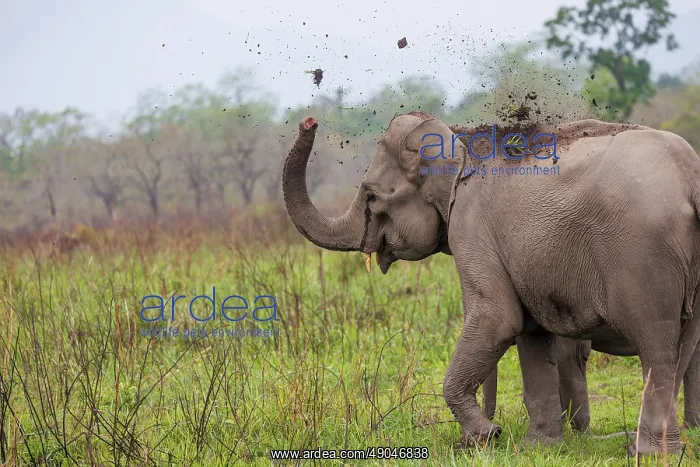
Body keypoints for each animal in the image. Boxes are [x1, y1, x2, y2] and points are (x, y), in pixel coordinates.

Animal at [282, 111, 700, 455]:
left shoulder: (471, 225)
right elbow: (531, 334)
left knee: (657, 345)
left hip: (644, 258)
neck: (459, 140)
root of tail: (690, 176)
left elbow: (498, 319)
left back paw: (647, 453)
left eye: (370, 196)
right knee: (683, 344)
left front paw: (488, 436)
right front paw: (538, 449)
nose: (309, 121)